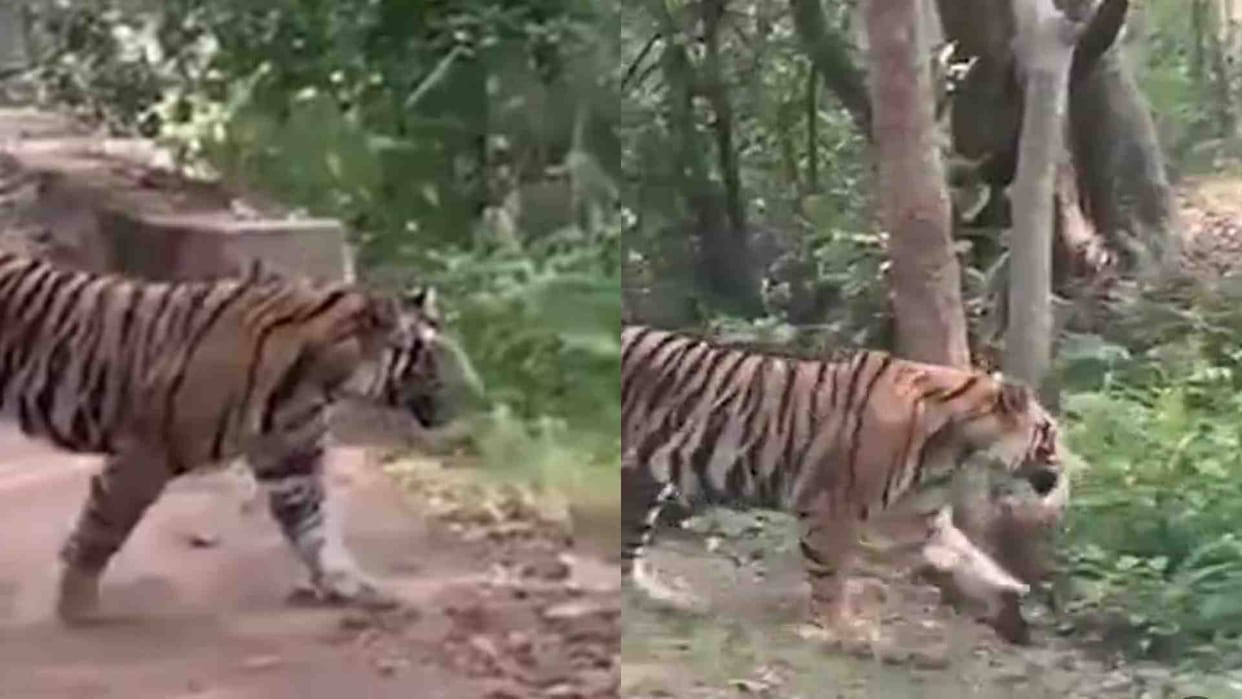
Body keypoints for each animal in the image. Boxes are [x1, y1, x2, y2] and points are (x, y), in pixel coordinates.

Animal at [0, 251, 452, 624]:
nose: (456, 397)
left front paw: (348, 583)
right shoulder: (147, 453)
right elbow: (102, 527)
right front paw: (77, 605)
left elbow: (315, 524)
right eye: (429, 356)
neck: (326, 378)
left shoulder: (290, 457)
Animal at [620, 324, 1064, 634]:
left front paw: (1012, 589)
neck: (957, 447)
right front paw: (838, 630)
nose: (1064, 471)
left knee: (629, 547)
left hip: (643, 481)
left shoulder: (919, 515)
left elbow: (967, 553)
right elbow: (829, 573)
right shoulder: (830, 507)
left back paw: (660, 597)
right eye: (1050, 433)